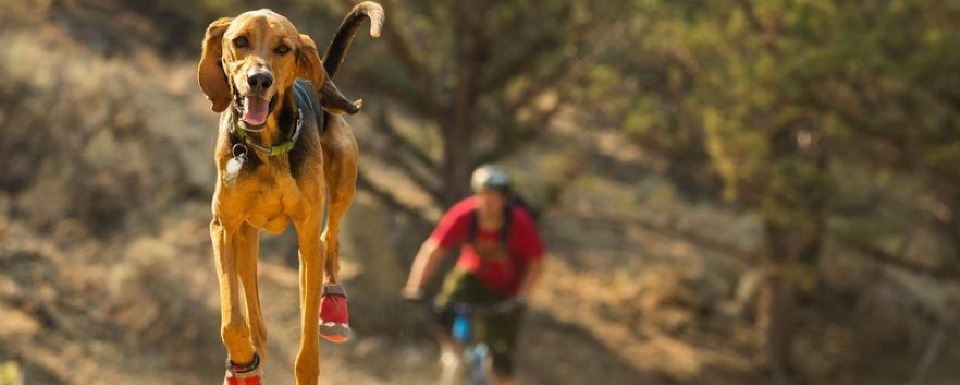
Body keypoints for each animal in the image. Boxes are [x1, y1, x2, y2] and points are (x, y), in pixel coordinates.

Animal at [195, 3, 382, 384]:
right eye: (240, 41)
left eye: (283, 48)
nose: (259, 80)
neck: (266, 146)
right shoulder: (223, 228)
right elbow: (232, 322)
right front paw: (242, 361)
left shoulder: (305, 237)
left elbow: (307, 342)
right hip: (246, 236)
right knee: (255, 312)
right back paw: (249, 357)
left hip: (344, 181)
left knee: (329, 241)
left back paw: (333, 305)